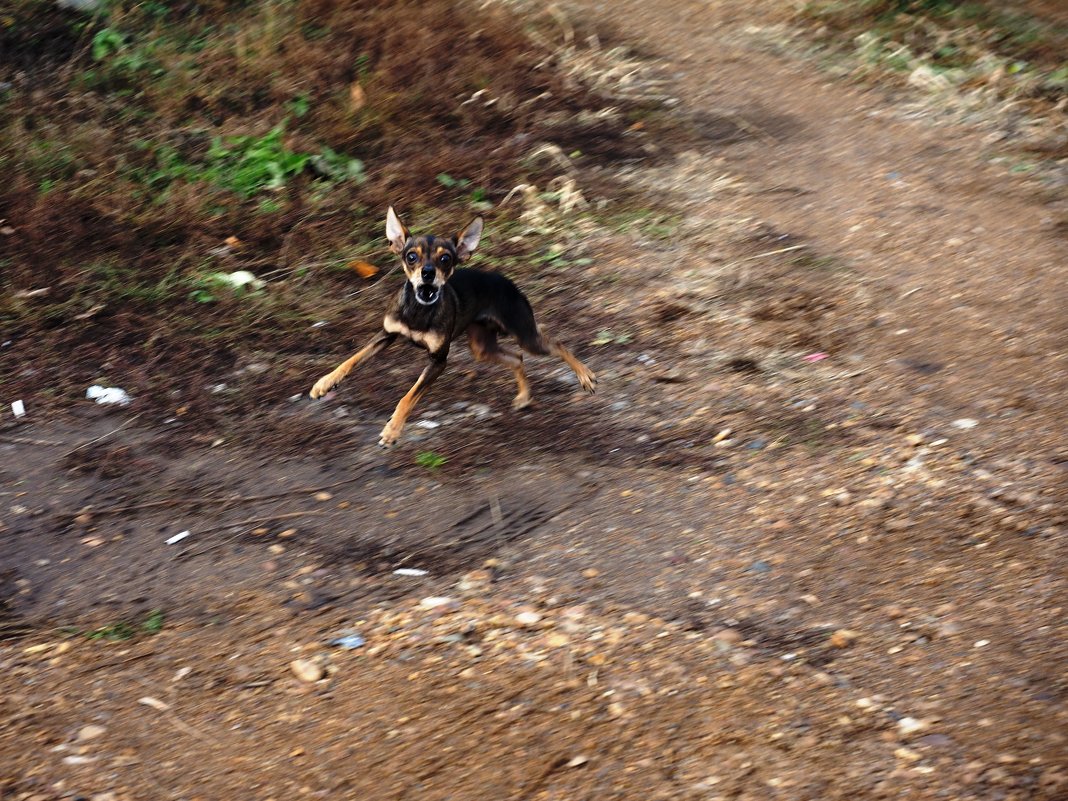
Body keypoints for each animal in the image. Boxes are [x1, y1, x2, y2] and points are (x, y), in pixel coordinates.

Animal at [309, 207, 598, 448]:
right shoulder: (387, 334)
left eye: (446, 259)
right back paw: (525, 396)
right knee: (517, 358)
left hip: (525, 334)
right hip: (482, 347)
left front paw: (392, 430)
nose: (427, 273)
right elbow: (352, 359)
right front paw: (325, 382)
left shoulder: (438, 361)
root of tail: (507, 281)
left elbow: (408, 397)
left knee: (556, 345)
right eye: (411, 256)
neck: (419, 309)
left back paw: (585, 376)